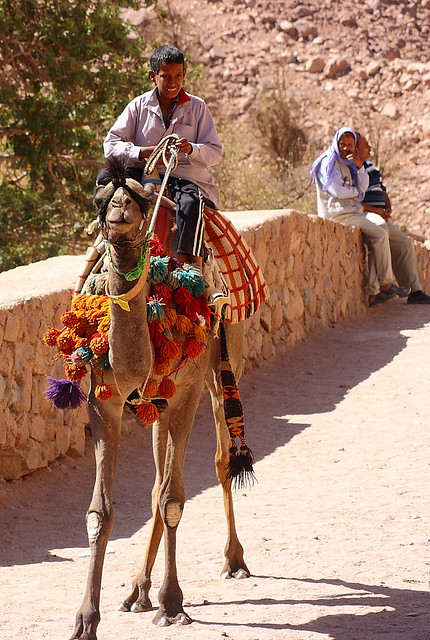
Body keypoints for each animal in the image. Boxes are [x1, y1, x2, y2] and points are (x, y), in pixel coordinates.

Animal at [67, 160, 253, 639]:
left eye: (139, 195)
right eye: (100, 197)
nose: (118, 208)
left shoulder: (185, 391)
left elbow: (174, 498)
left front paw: (173, 603)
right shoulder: (105, 399)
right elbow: (100, 512)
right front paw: (85, 619)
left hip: (223, 362)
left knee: (222, 459)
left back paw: (234, 561)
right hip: (156, 403)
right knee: (154, 482)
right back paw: (137, 589)